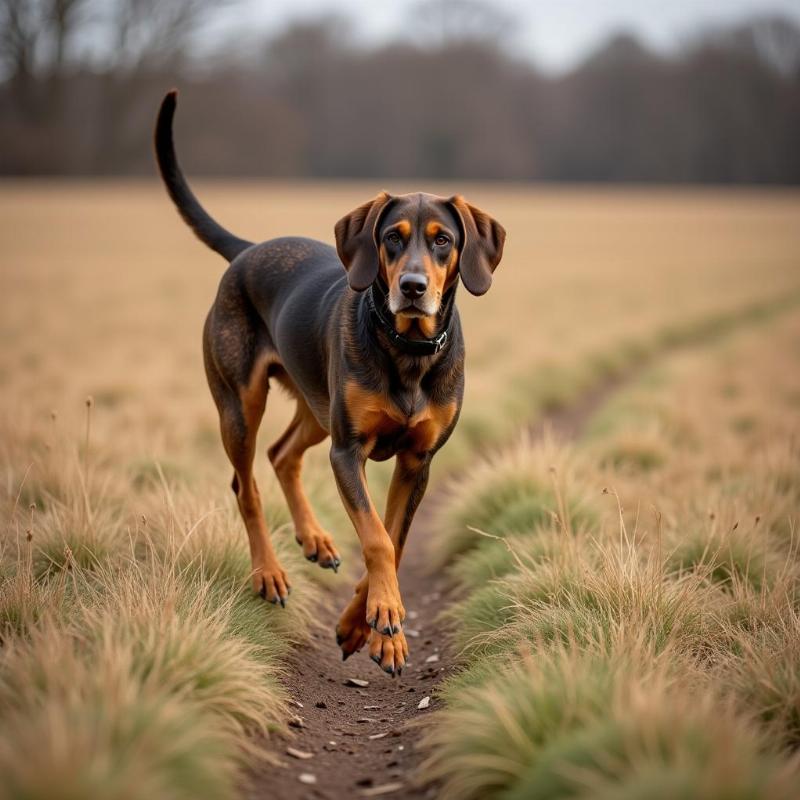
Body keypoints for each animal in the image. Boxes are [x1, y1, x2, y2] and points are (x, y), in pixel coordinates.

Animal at [155, 89, 506, 676]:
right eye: (391, 238)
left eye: (443, 241)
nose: (413, 288)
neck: (407, 351)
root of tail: (246, 250)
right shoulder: (348, 452)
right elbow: (377, 539)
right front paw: (383, 620)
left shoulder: (418, 460)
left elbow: (394, 539)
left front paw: (366, 627)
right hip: (241, 403)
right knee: (246, 482)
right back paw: (269, 574)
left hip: (316, 406)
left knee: (282, 454)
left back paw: (315, 539)